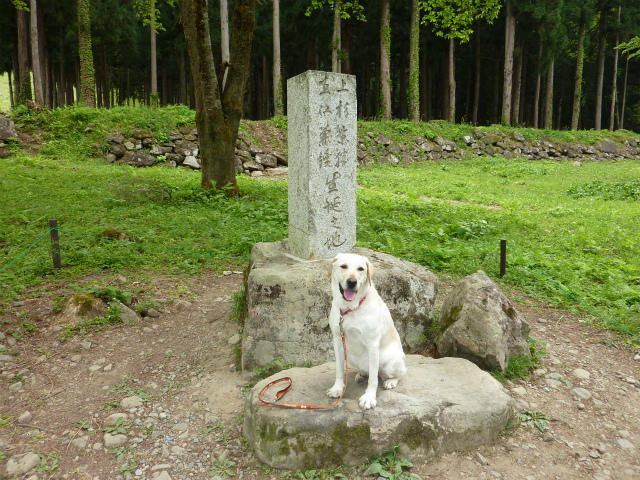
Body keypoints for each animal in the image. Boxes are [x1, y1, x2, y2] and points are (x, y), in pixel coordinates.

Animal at [328, 251, 408, 408]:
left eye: (361, 269)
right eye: (343, 266)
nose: (352, 282)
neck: (351, 308)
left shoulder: (372, 344)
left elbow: (373, 380)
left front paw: (369, 398)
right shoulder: (338, 340)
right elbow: (339, 370)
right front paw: (337, 388)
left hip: (390, 362)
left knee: (398, 373)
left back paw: (390, 381)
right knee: (370, 371)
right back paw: (362, 374)